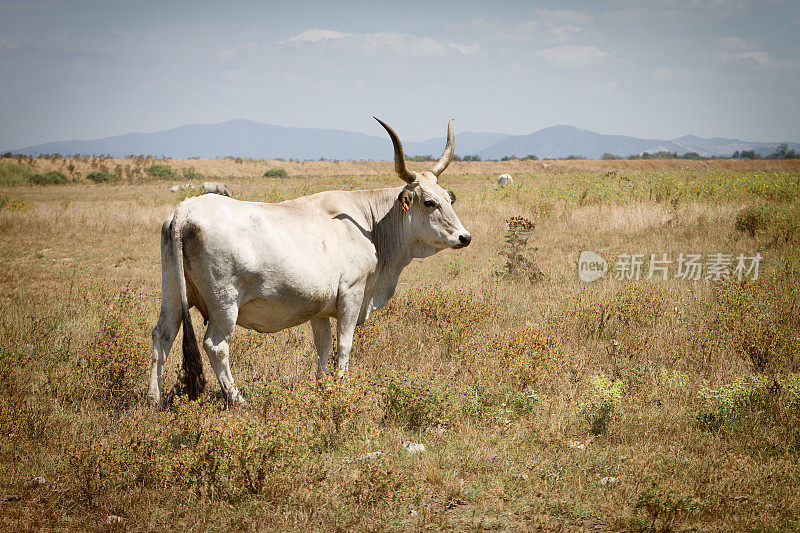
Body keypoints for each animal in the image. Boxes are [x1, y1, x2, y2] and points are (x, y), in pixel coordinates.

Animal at [148, 118, 468, 406]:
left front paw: (322, 387)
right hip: (224, 305)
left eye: (449, 199)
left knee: (162, 336)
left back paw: (154, 399)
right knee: (216, 346)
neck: (371, 224)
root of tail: (186, 209)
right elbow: (344, 344)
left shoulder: (320, 308)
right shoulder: (352, 293)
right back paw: (237, 398)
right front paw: (341, 388)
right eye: (429, 202)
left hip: (173, 295)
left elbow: (323, 346)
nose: (464, 237)